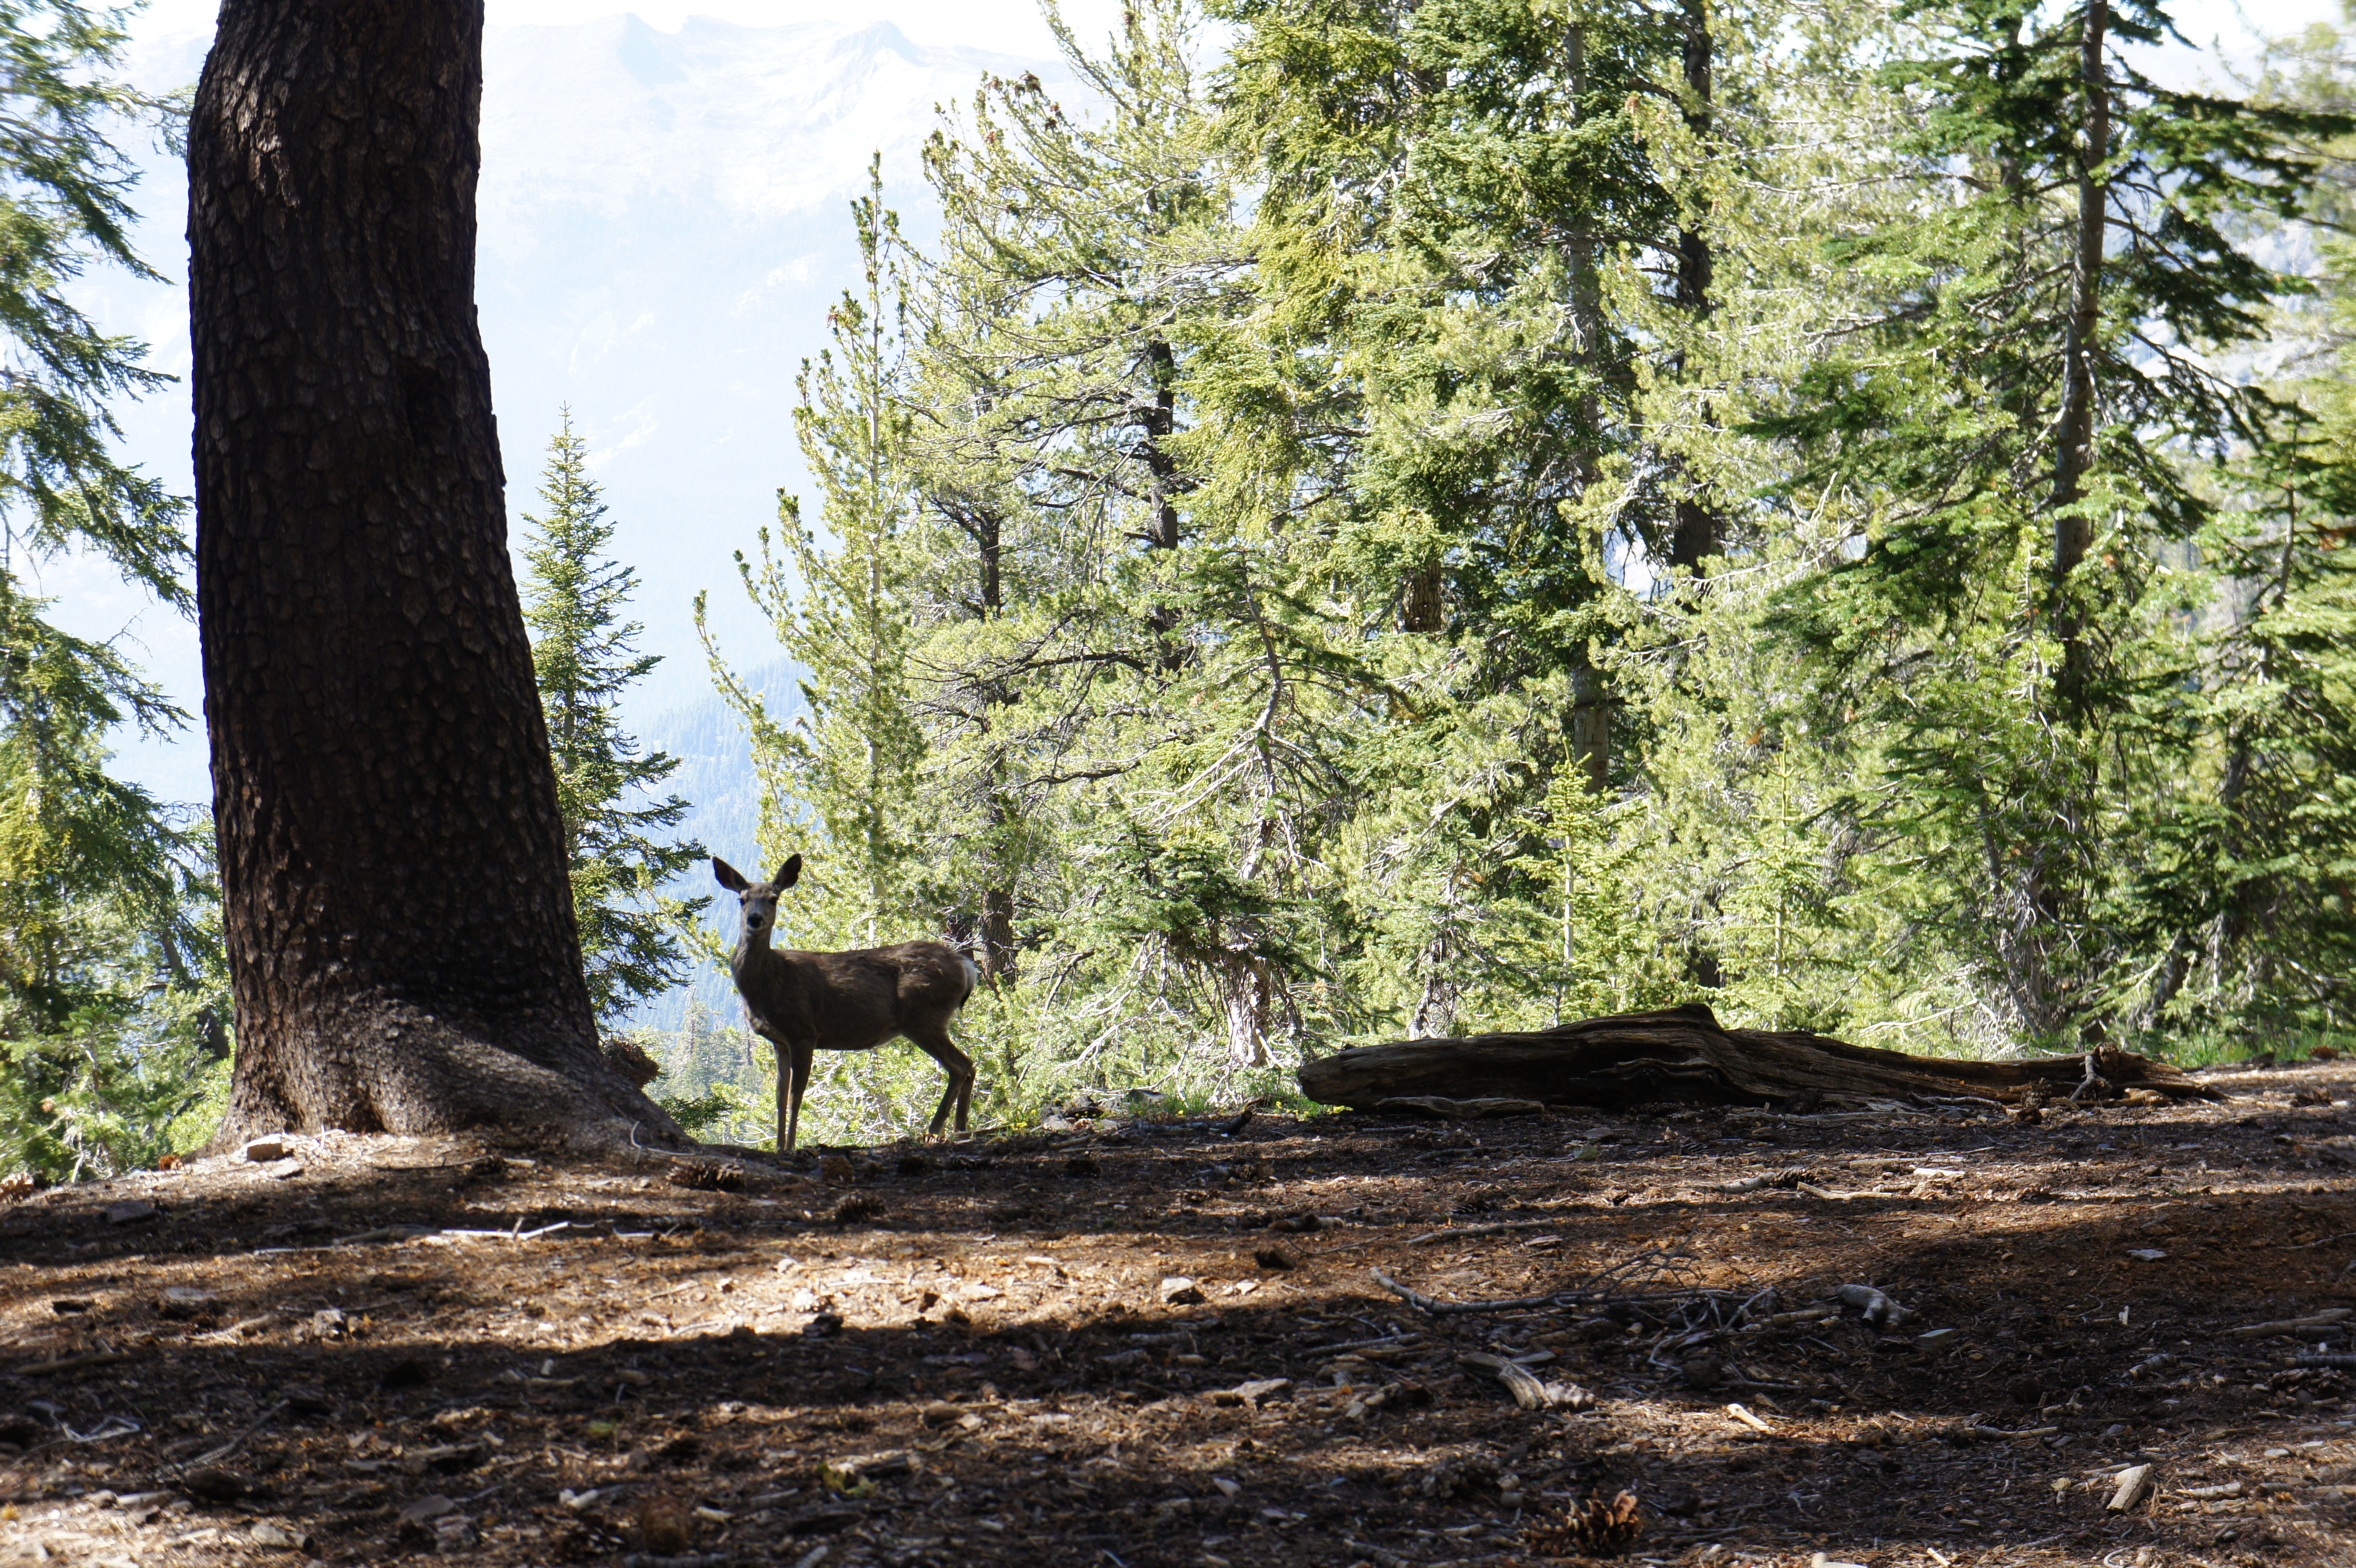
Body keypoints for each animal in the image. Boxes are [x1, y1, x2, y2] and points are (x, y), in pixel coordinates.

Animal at [712, 854, 979, 1154]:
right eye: (742, 899)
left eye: (773, 898)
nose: (755, 920)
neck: (767, 984)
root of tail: (965, 966)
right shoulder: (779, 1041)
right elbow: (779, 1098)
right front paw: (779, 1147)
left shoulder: (804, 1032)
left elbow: (796, 1096)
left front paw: (791, 1147)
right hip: (928, 1020)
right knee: (967, 1066)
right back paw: (960, 1130)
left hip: (924, 1017)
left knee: (961, 1066)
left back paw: (935, 1130)